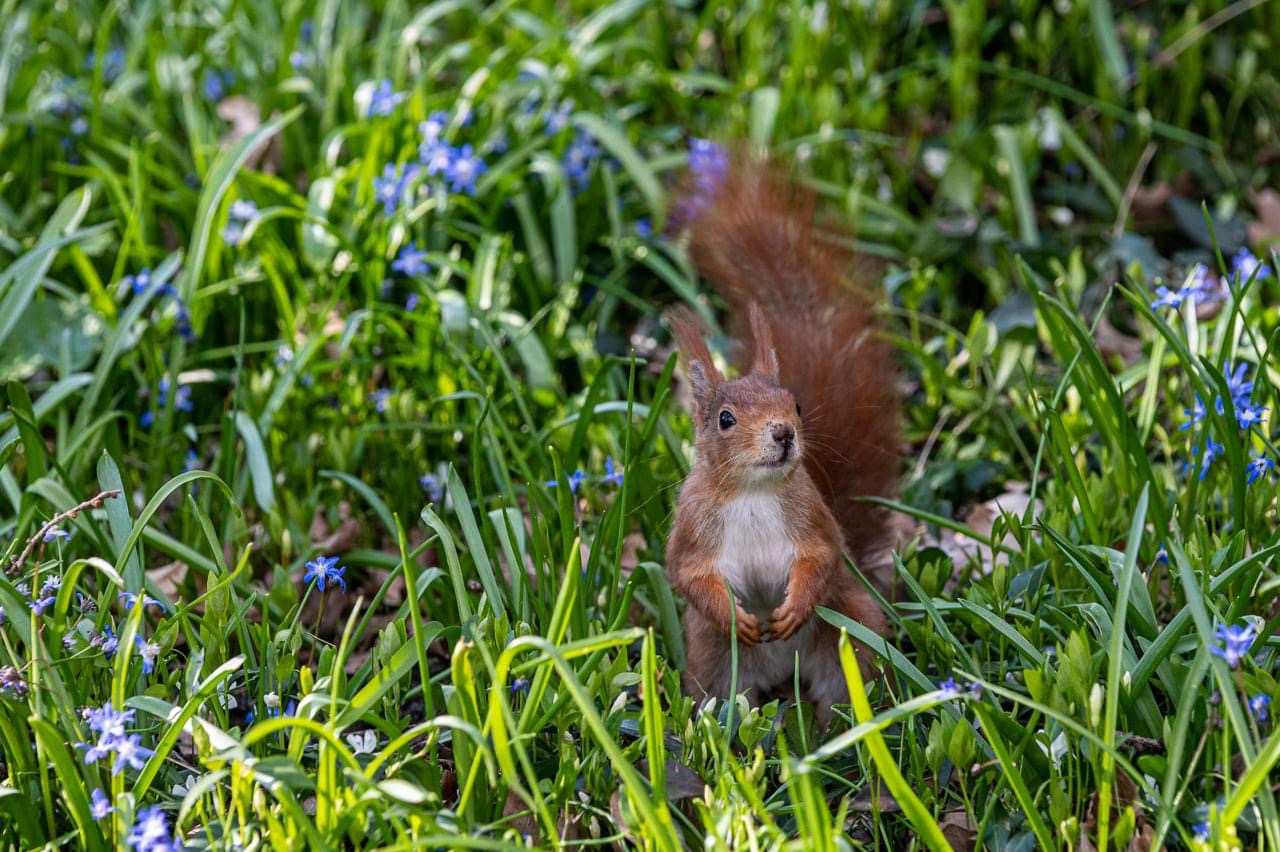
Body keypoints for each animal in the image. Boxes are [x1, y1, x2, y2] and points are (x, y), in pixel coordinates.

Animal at [660, 154, 901, 721]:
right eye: (725, 419)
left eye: (795, 404)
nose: (784, 433)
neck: (752, 492)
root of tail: (782, 672)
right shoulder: (691, 529)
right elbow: (687, 574)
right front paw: (738, 618)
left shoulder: (812, 516)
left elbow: (823, 555)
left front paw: (792, 608)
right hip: (713, 661)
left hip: (849, 628)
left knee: (843, 688)